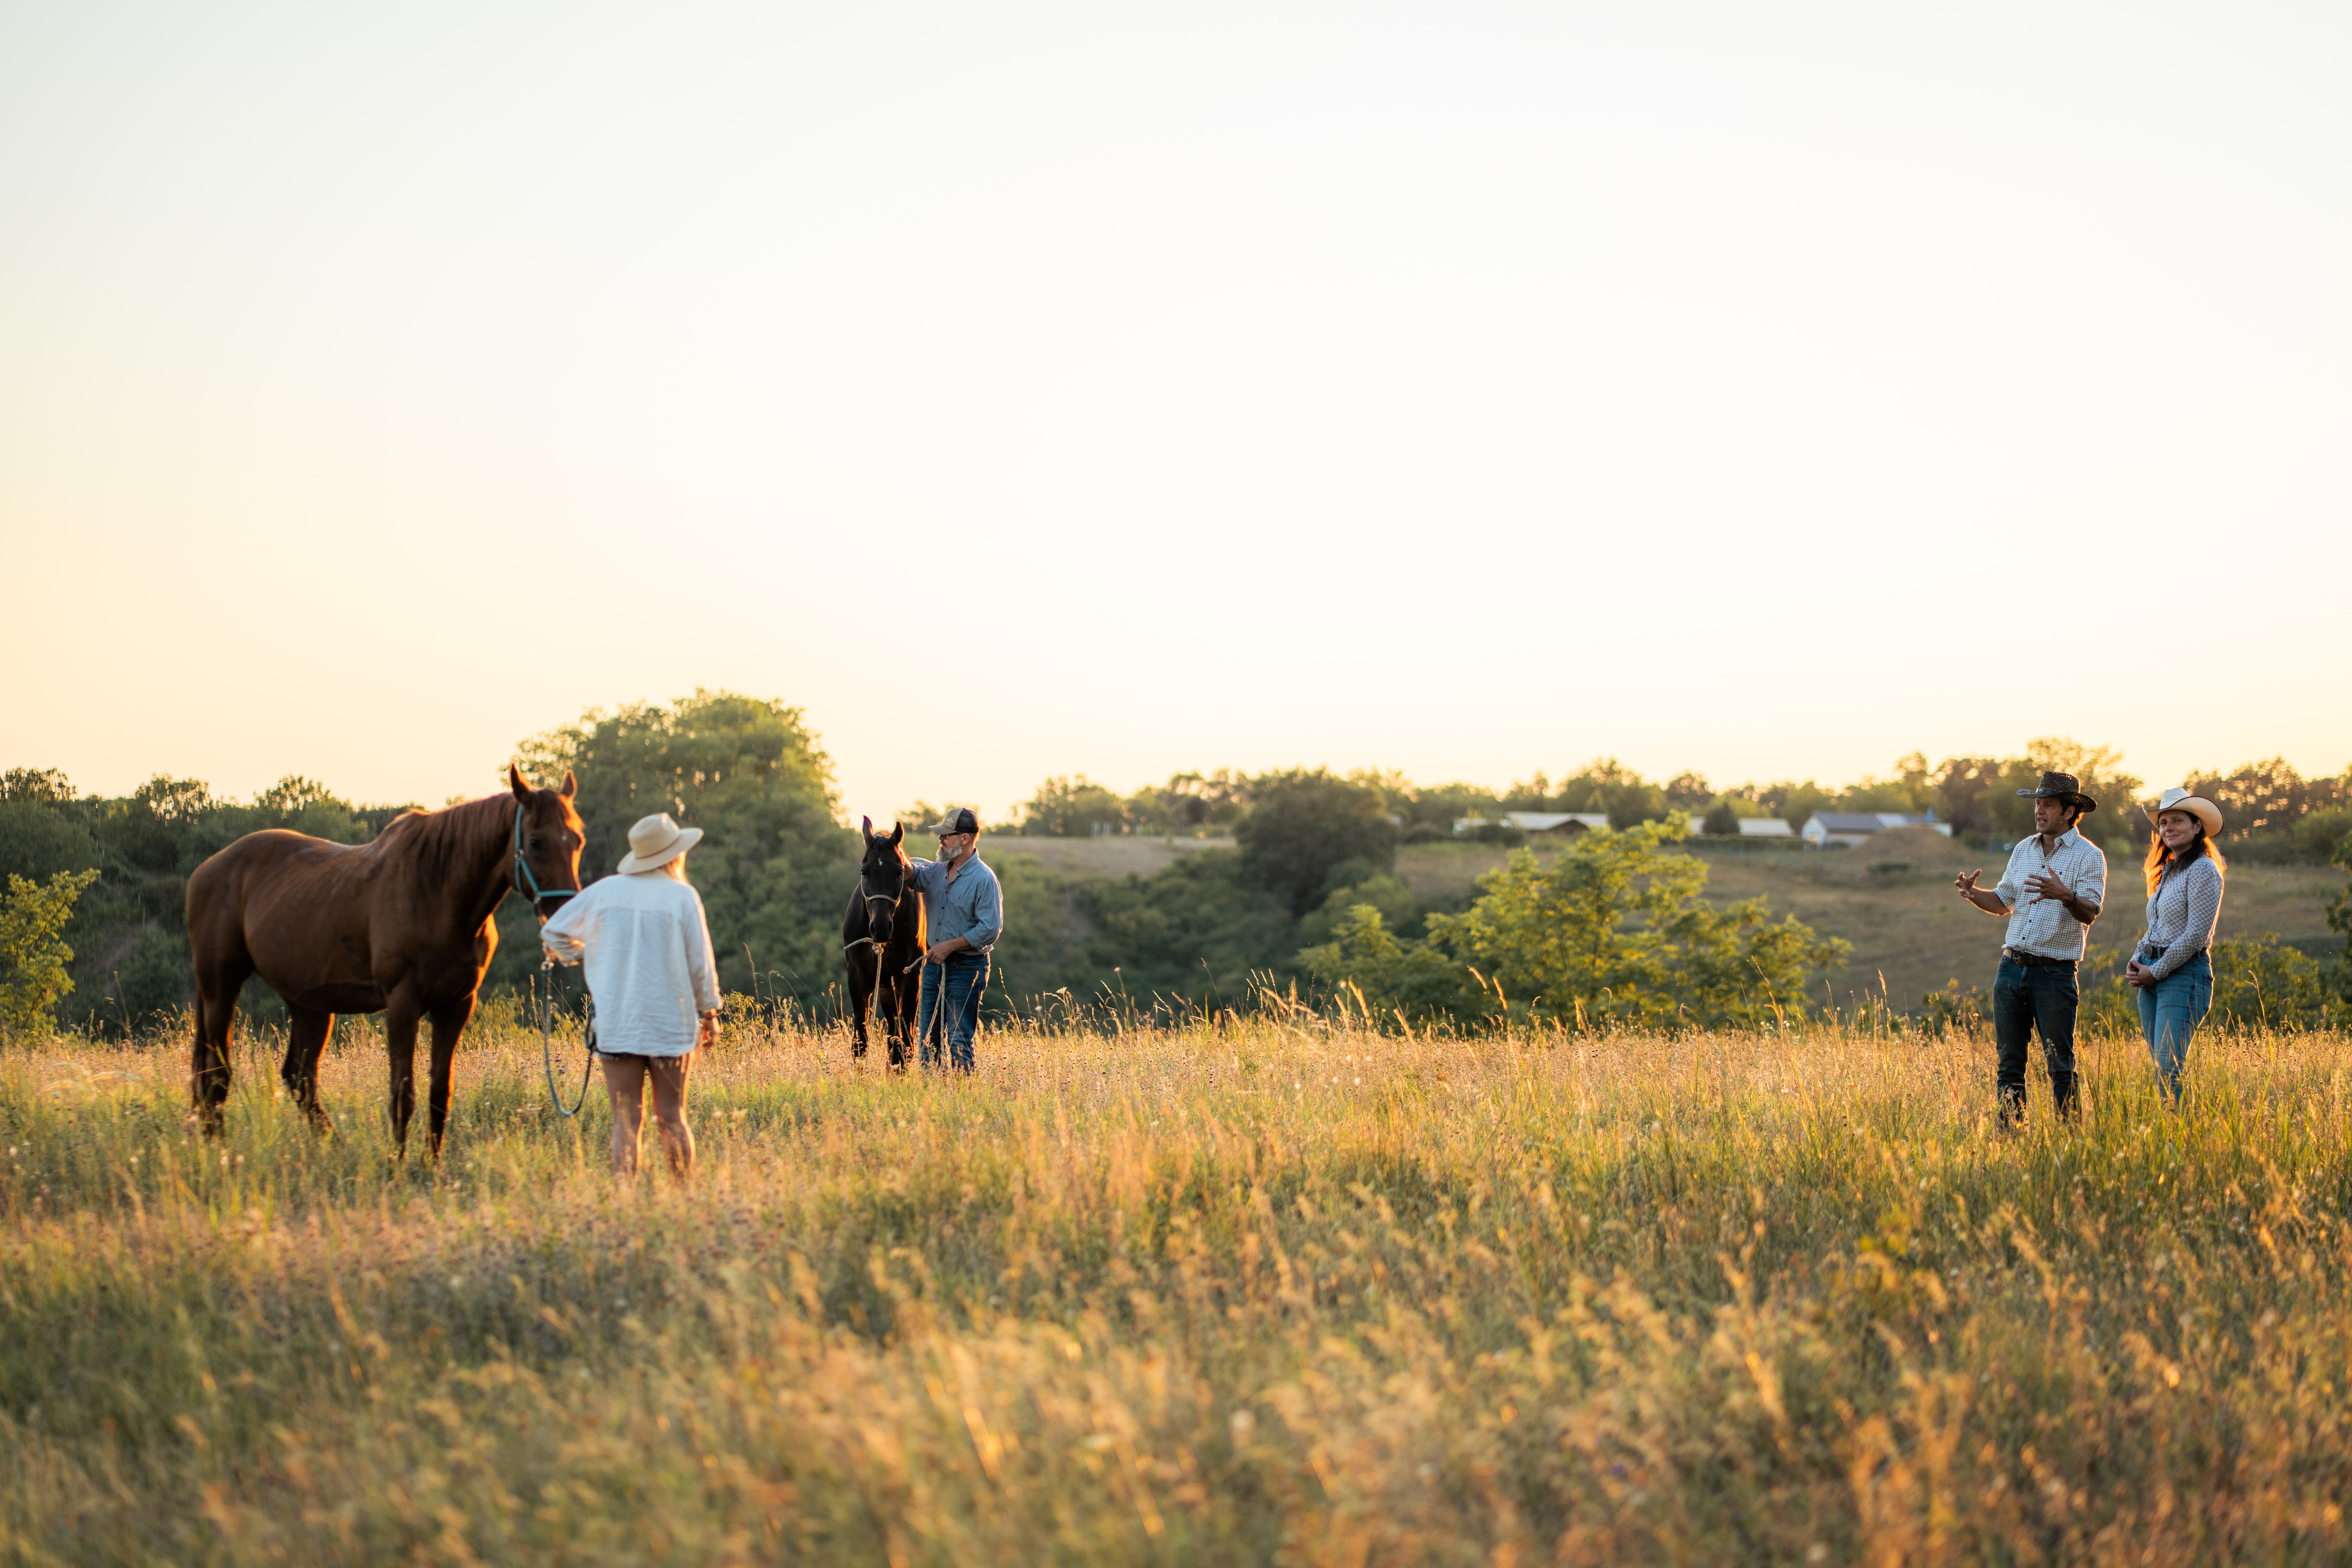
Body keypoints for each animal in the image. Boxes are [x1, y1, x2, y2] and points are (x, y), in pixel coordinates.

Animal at [183, 763, 585, 1154]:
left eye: (578, 839)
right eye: (535, 842)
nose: (568, 918)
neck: (436, 891)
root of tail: (207, 870)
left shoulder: (456, 1005)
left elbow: (440, 1093)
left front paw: (432, 1165)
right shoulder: (403, 1003)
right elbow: (402, 1094)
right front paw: (399, 1165)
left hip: (309, 1003)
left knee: (299, 1077)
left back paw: (336, 1150)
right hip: (221, 988)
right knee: (216, 1075)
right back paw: (219, 1153)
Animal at [842, 816, 925, 1068]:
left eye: (899, 873)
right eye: (864, 872)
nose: (880, 928)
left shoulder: (909, 977)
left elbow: (906, 1042)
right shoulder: (858, 977)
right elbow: (860, 1042)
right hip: (888, 988)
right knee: (892, 1034)